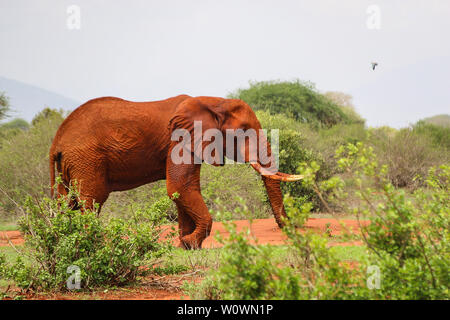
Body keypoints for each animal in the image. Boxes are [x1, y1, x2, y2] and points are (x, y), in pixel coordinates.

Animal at [49, 95, 302, 250]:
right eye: (244, 131)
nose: (291, 229)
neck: (213, 101)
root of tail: (57, 142)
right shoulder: (181, 139)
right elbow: (179, 187)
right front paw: (190, 242)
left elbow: (184, 190)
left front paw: (186, 246)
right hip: (87, 159)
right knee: (91, 201)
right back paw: (95, 247)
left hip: (72, 165)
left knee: (67, 202)